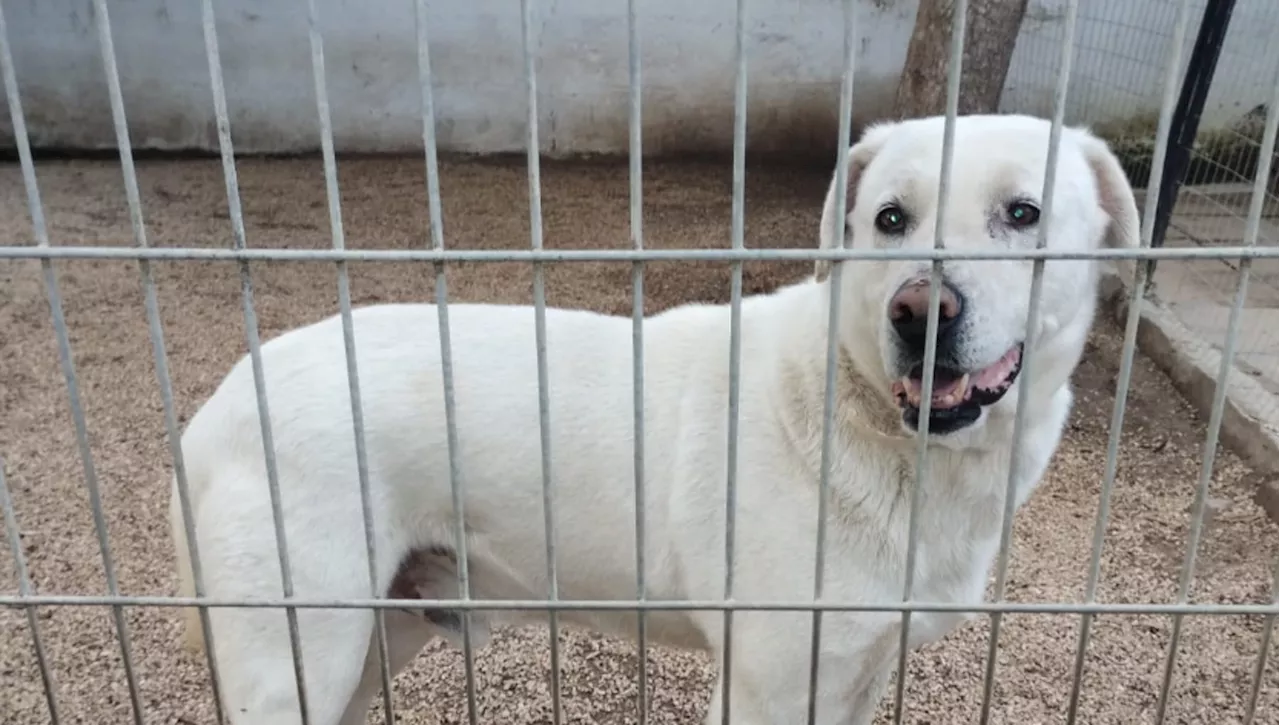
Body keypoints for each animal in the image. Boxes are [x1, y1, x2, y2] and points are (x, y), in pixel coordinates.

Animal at [170, 112, 1141, 722]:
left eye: (1023, 213)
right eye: (889, 219)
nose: (920, 311)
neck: (870, 418)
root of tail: (212, 409)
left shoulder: (857, 669)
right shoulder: (767, 685)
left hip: (378, 637)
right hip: (297, 654)